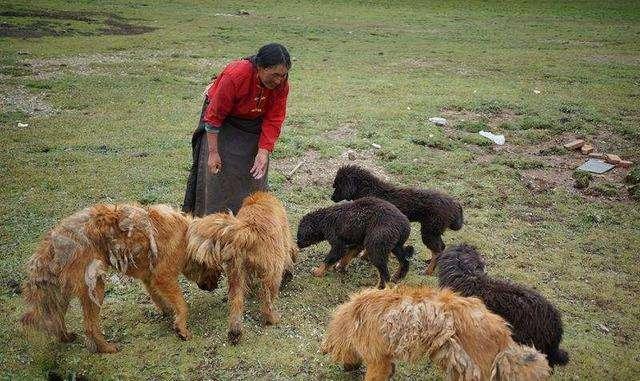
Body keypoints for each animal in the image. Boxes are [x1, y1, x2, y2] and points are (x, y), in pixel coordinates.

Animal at [20, 203, 220, 352]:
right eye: (216, 271)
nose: (215, 288)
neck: (186, 237)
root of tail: (54, 240)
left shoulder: (149, 278)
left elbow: (159, 298)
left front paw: (169, 312)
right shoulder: (163, 277)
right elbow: (183, 305)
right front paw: (182, 328)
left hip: (61, 292)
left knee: (57, 316)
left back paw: (65, 337)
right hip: (96, 287)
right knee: (89, 327)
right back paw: (106, 348)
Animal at [188, 191, 298, 342]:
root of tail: (247, 230)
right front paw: (289, 274)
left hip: (236, 273)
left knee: (237, 302)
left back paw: (235, 331)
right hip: (271, 274)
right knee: (266, 303)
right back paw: (272, 318)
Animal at [332, 165, 462, 274]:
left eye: (338, 185)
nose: (331, 197)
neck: (369, 189)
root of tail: (454, 204)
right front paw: (365, 256)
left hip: (429, 231)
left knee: (437, 250)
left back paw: (428, 271)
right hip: (434, 232)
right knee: (441, 247)